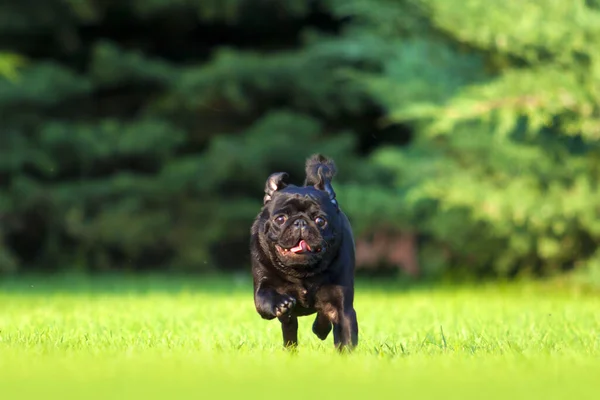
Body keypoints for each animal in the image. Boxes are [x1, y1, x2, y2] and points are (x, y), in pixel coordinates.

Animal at [251, 154, 358, 350]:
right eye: (280, 219)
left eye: (320, 220)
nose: (300, 222)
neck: (302, 273)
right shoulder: (262, 288)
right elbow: (265, 298)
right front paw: (281, 303)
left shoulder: (343, 307)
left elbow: (346, 338)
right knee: (289, 329)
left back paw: (320, 328)